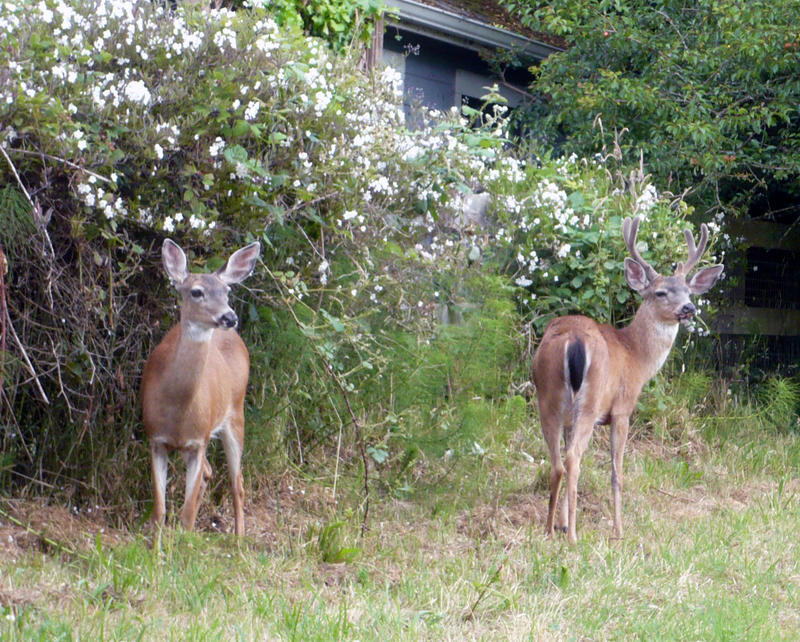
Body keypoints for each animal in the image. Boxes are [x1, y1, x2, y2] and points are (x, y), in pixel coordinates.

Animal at [140, 238, 260, 532]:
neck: (177, 408)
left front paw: (184, 539)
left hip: (235, 414)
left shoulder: (199, 440)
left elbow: (186, 517)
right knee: (209, 472)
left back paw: (239, 539)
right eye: (196, 292)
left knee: (237, 484)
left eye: (227, 291)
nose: (229, 317)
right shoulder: (156, 439)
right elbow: (160, 511)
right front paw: (157, 543)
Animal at [532, 215, 724, 540]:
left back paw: (550, 529)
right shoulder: (622, 408)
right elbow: (616, 473)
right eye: (660, 292)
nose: (688, 308)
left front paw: (562, 522)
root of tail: (572, 338)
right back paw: (573, 538)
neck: (636, 355)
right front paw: (618, 530)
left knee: (558, 463)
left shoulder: (570, 416)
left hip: (548, 396)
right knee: (573, 460)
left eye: (688, 291)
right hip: (591, 400)